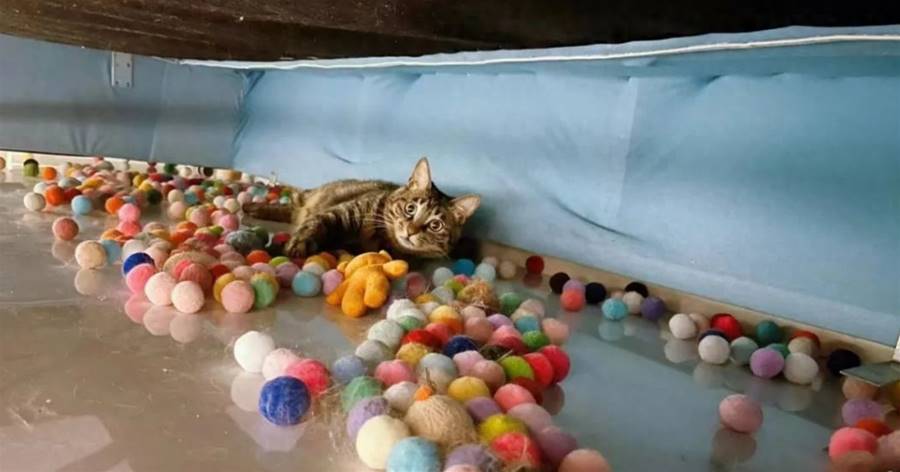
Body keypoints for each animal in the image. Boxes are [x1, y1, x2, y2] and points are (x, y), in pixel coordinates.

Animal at [243, 158, 480, 259]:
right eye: (410, 208)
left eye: (435, 225)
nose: (410, 231)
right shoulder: (339, 212)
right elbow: (313, 226)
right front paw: (298, 245)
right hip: (313, 196)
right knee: (294, 201)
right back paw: (253, 205)